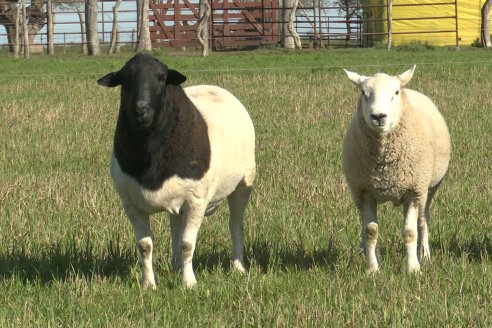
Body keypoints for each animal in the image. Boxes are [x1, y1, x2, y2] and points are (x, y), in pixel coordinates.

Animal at [97, 53, 256, 288]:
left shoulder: (196, 200)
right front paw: (148, 284)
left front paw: (188, 283)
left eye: (162, 79)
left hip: (243, 183)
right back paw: (175, 265)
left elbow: (187, 244)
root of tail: (215, 87)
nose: (140, 109)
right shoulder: (131, 204)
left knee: (235, 223)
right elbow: (144, 246)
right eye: (124, 80)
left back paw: (238, 267)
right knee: (175, 226)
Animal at [342, 65, 450, 272]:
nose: (378, 116)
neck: (384, 164)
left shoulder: (413, 191)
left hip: (429, 188)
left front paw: (413, 268)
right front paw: (373, 269)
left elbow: (410, 232)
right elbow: (370, 231)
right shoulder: (365, 192)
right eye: (363, 92)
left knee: (423, 220)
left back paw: (424, 254)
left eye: (396, 92)